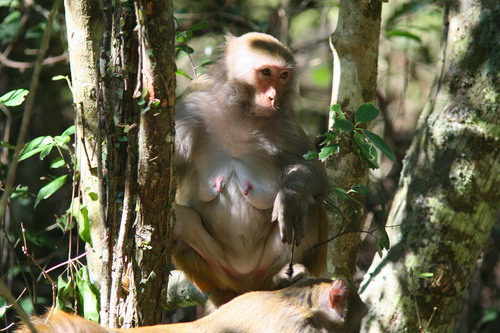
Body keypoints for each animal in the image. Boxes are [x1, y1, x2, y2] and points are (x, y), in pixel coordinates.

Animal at [172, 32, 328, 304]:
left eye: (283, 76)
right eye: (266, 72)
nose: (274, 96)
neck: (242, 113)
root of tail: (246, 283)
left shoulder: (285, 121)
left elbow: (315, 172)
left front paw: (290, 198)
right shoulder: (191, 108)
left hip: (263, 266)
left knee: (311, 207)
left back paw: (284, 274)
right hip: (216, 269)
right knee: (178, 221)